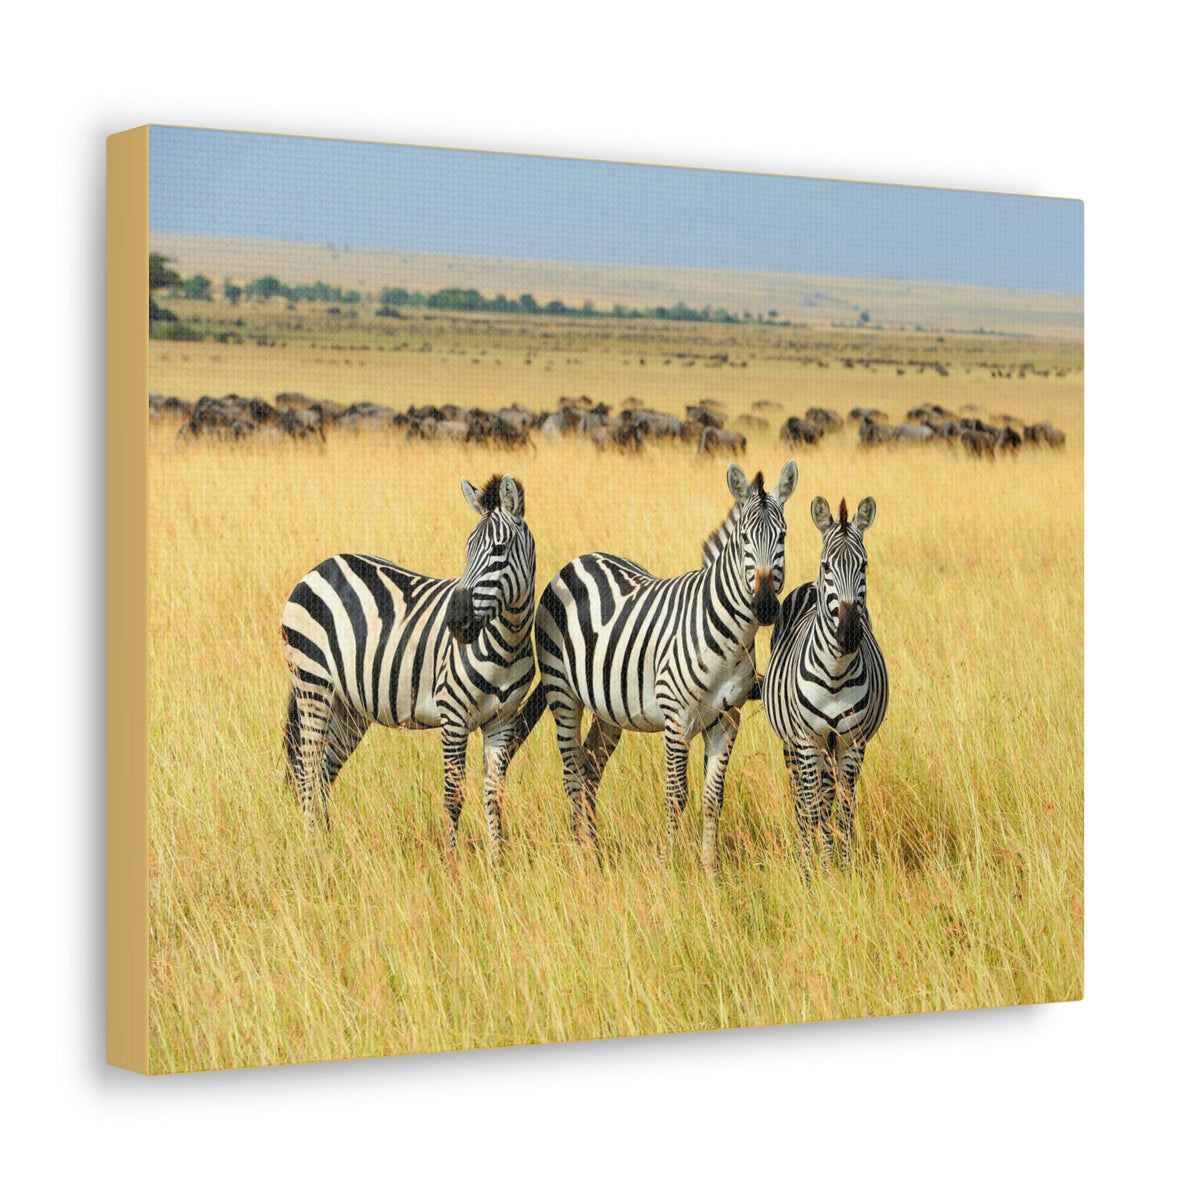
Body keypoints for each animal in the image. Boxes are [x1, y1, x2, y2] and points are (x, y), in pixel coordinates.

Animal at [280, 473, 538, 862]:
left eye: (500, 549)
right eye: (467, 549)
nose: (457, 623)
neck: (506, 644)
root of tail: (320, 566)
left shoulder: (502, 720)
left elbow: (494, 795)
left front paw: (497, 865)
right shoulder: (454, 715)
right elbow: (453, 795)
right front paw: (451, 864)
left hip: (349, 707)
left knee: (324, 772)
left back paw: (328, 849)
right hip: (313, 685)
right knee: (307, 770)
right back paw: (313, 852)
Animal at [532, 461, 798, 872]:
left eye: (782, 536)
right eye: (743, 540)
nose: (766, 605)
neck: (728, 635)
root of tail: (578, 560)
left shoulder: (727, 720)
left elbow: (713, 798)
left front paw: (710, 870)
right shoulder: (677, 719)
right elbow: (676, 795)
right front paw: (669, 867)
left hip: (609, 709)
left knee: (590, 767)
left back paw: (594, 850)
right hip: (562, 694)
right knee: (572, 773)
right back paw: (579, 856)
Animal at [762, 496, 888, 870]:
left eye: (864, 565)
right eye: (827, 565)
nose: (848, 634)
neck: (835, 673)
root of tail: (809, 585)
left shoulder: (852, 742)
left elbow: (844, 809)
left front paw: (843, 869)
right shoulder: (807, 740)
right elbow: (813, 806)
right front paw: (818, 871)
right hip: (795, 745)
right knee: (802, 800)